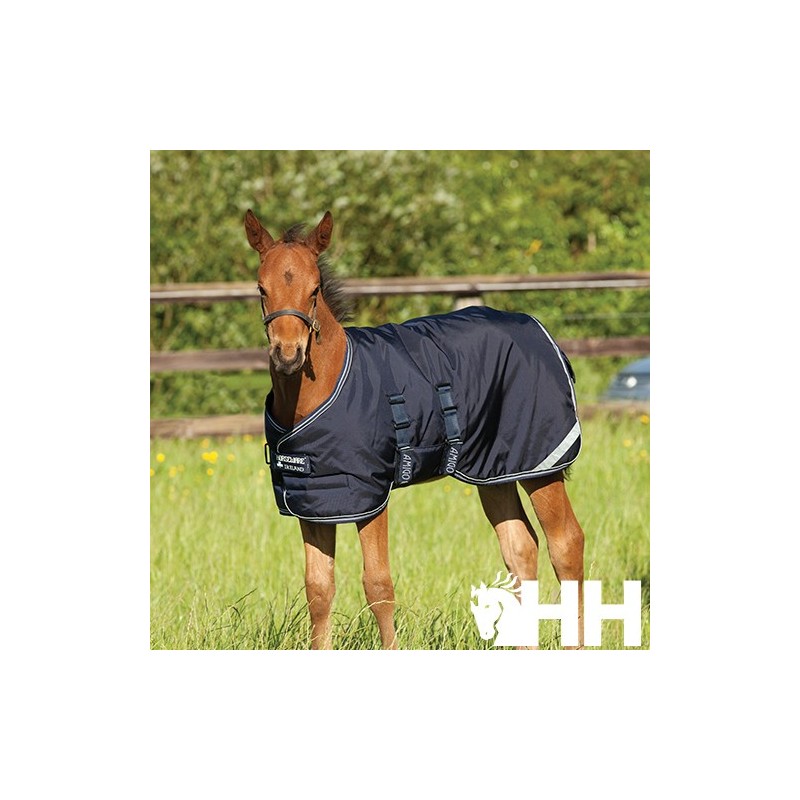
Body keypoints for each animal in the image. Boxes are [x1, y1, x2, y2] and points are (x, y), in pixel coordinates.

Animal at [245, 208, 586, 649]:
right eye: (261, 289)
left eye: (315, 289)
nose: (288, 355)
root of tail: (542, 333)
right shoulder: (314, 500)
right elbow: (318, 588)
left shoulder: (370, 494)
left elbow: (378, 586)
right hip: (495, 469)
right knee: (520, 547)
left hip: (540, 464)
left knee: (566, 544)